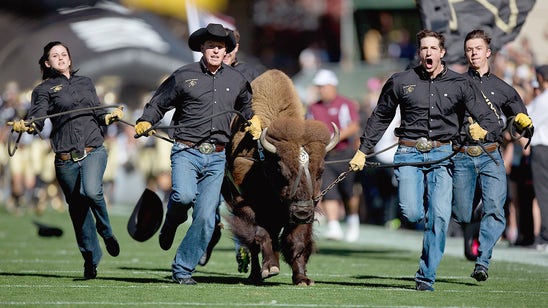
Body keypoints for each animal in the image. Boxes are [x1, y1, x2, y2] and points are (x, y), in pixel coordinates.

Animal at [223, 70, 338, 286]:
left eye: (320, 171)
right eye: (281, 171)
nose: (301, 213)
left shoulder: (309, 205)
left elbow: (297, 240)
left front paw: (302, 278)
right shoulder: (245, 203)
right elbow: (260, 233)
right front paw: (271, 268)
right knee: (255, 244)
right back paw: (257, 274)